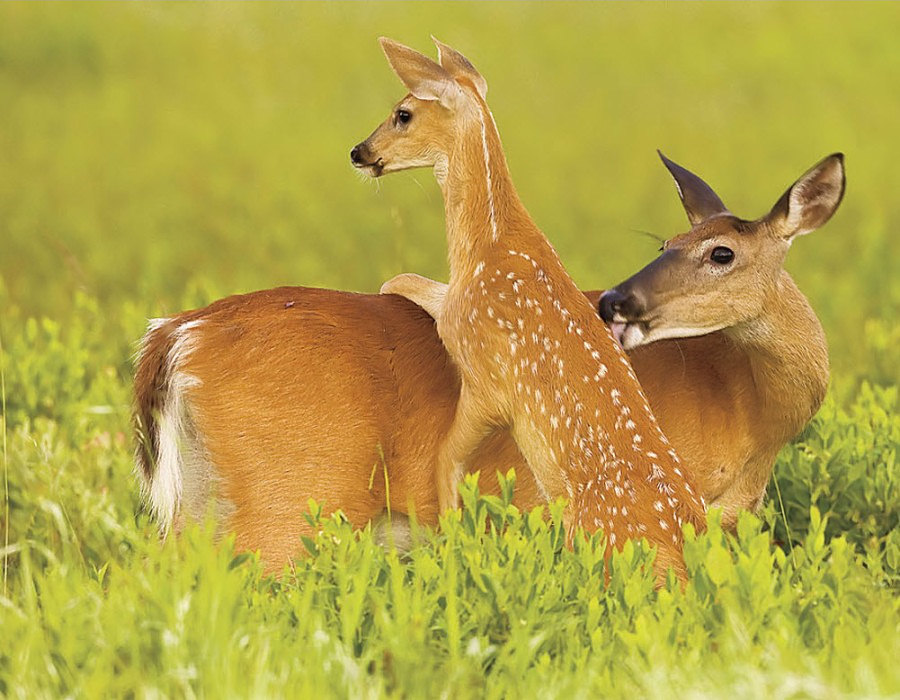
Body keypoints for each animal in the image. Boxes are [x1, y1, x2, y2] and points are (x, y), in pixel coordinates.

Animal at [348, 35, 708, 576]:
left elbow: (446, 459)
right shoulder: (458, 309)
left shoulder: (486, 378)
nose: (358, 152)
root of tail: (686, 540)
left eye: (403, 113)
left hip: (600, 537)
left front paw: (451, 536)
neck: (489, 244)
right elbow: (403, 279)